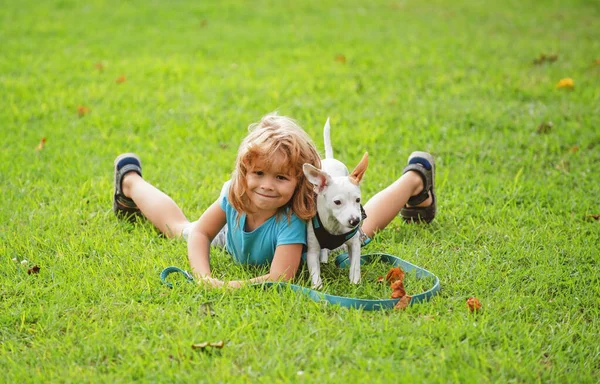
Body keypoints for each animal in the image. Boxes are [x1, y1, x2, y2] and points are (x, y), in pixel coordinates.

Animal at [302, 118, 368, 288]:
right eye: (337, 202)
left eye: (358, 200)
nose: (355, 221)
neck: (334, 225)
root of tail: (330, 158)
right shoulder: (312, 250)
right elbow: (315, 271)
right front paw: (317, 287)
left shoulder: (355, 243)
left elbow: (355, 265)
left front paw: (355, 283)